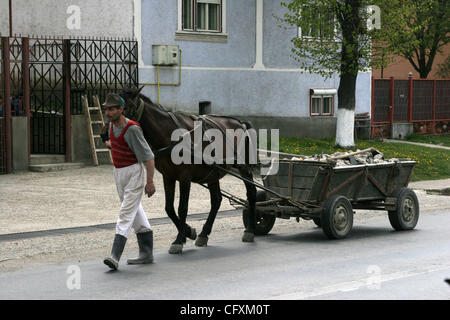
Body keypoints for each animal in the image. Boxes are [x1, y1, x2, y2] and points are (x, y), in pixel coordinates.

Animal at [119, 87, 256, 252]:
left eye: (125, 109)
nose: (105, 134)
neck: (169, 134)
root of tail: (239, 122)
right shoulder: (168, 176)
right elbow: (169, 208)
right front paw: (187, 232)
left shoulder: (185, 177)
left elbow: (182, 208)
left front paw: (179, 239)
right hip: (213, 172)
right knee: (216, 200)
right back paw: (204, 233)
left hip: (243, 167)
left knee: (251, 192)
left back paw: (250, 230)